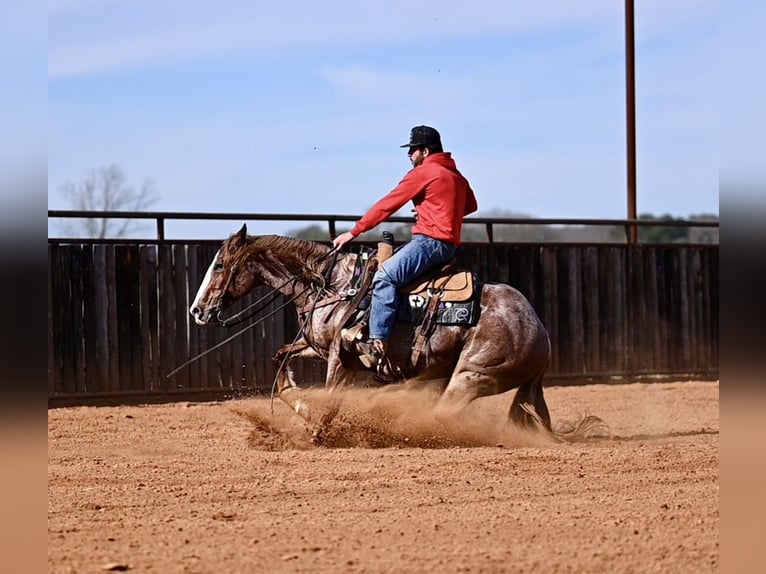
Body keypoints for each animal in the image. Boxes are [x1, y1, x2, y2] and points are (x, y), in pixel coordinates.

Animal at [190, 224, 554, 435]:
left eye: (219, 265)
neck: (334, 285)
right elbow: (280, 361)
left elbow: (330, 401)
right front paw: (301, 408)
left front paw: (314, 431)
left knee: (440, 412)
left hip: (471, 376)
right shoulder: (317, 347)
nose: (197, 311)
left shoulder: (340, 358)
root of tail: (541, 333)